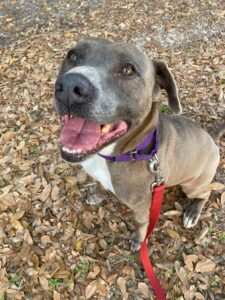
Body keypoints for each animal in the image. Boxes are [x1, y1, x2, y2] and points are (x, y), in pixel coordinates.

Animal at [54, 38, 223, 252]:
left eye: (128, 70)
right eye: (73, 56)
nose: (70, 85)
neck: (124, 153)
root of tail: (211, 139)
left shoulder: (143, 206)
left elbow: (141, 223)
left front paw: (138, 240)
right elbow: (100, 186)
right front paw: (97, 195)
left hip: (191, 185)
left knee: (206, 192)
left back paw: (193, 212)